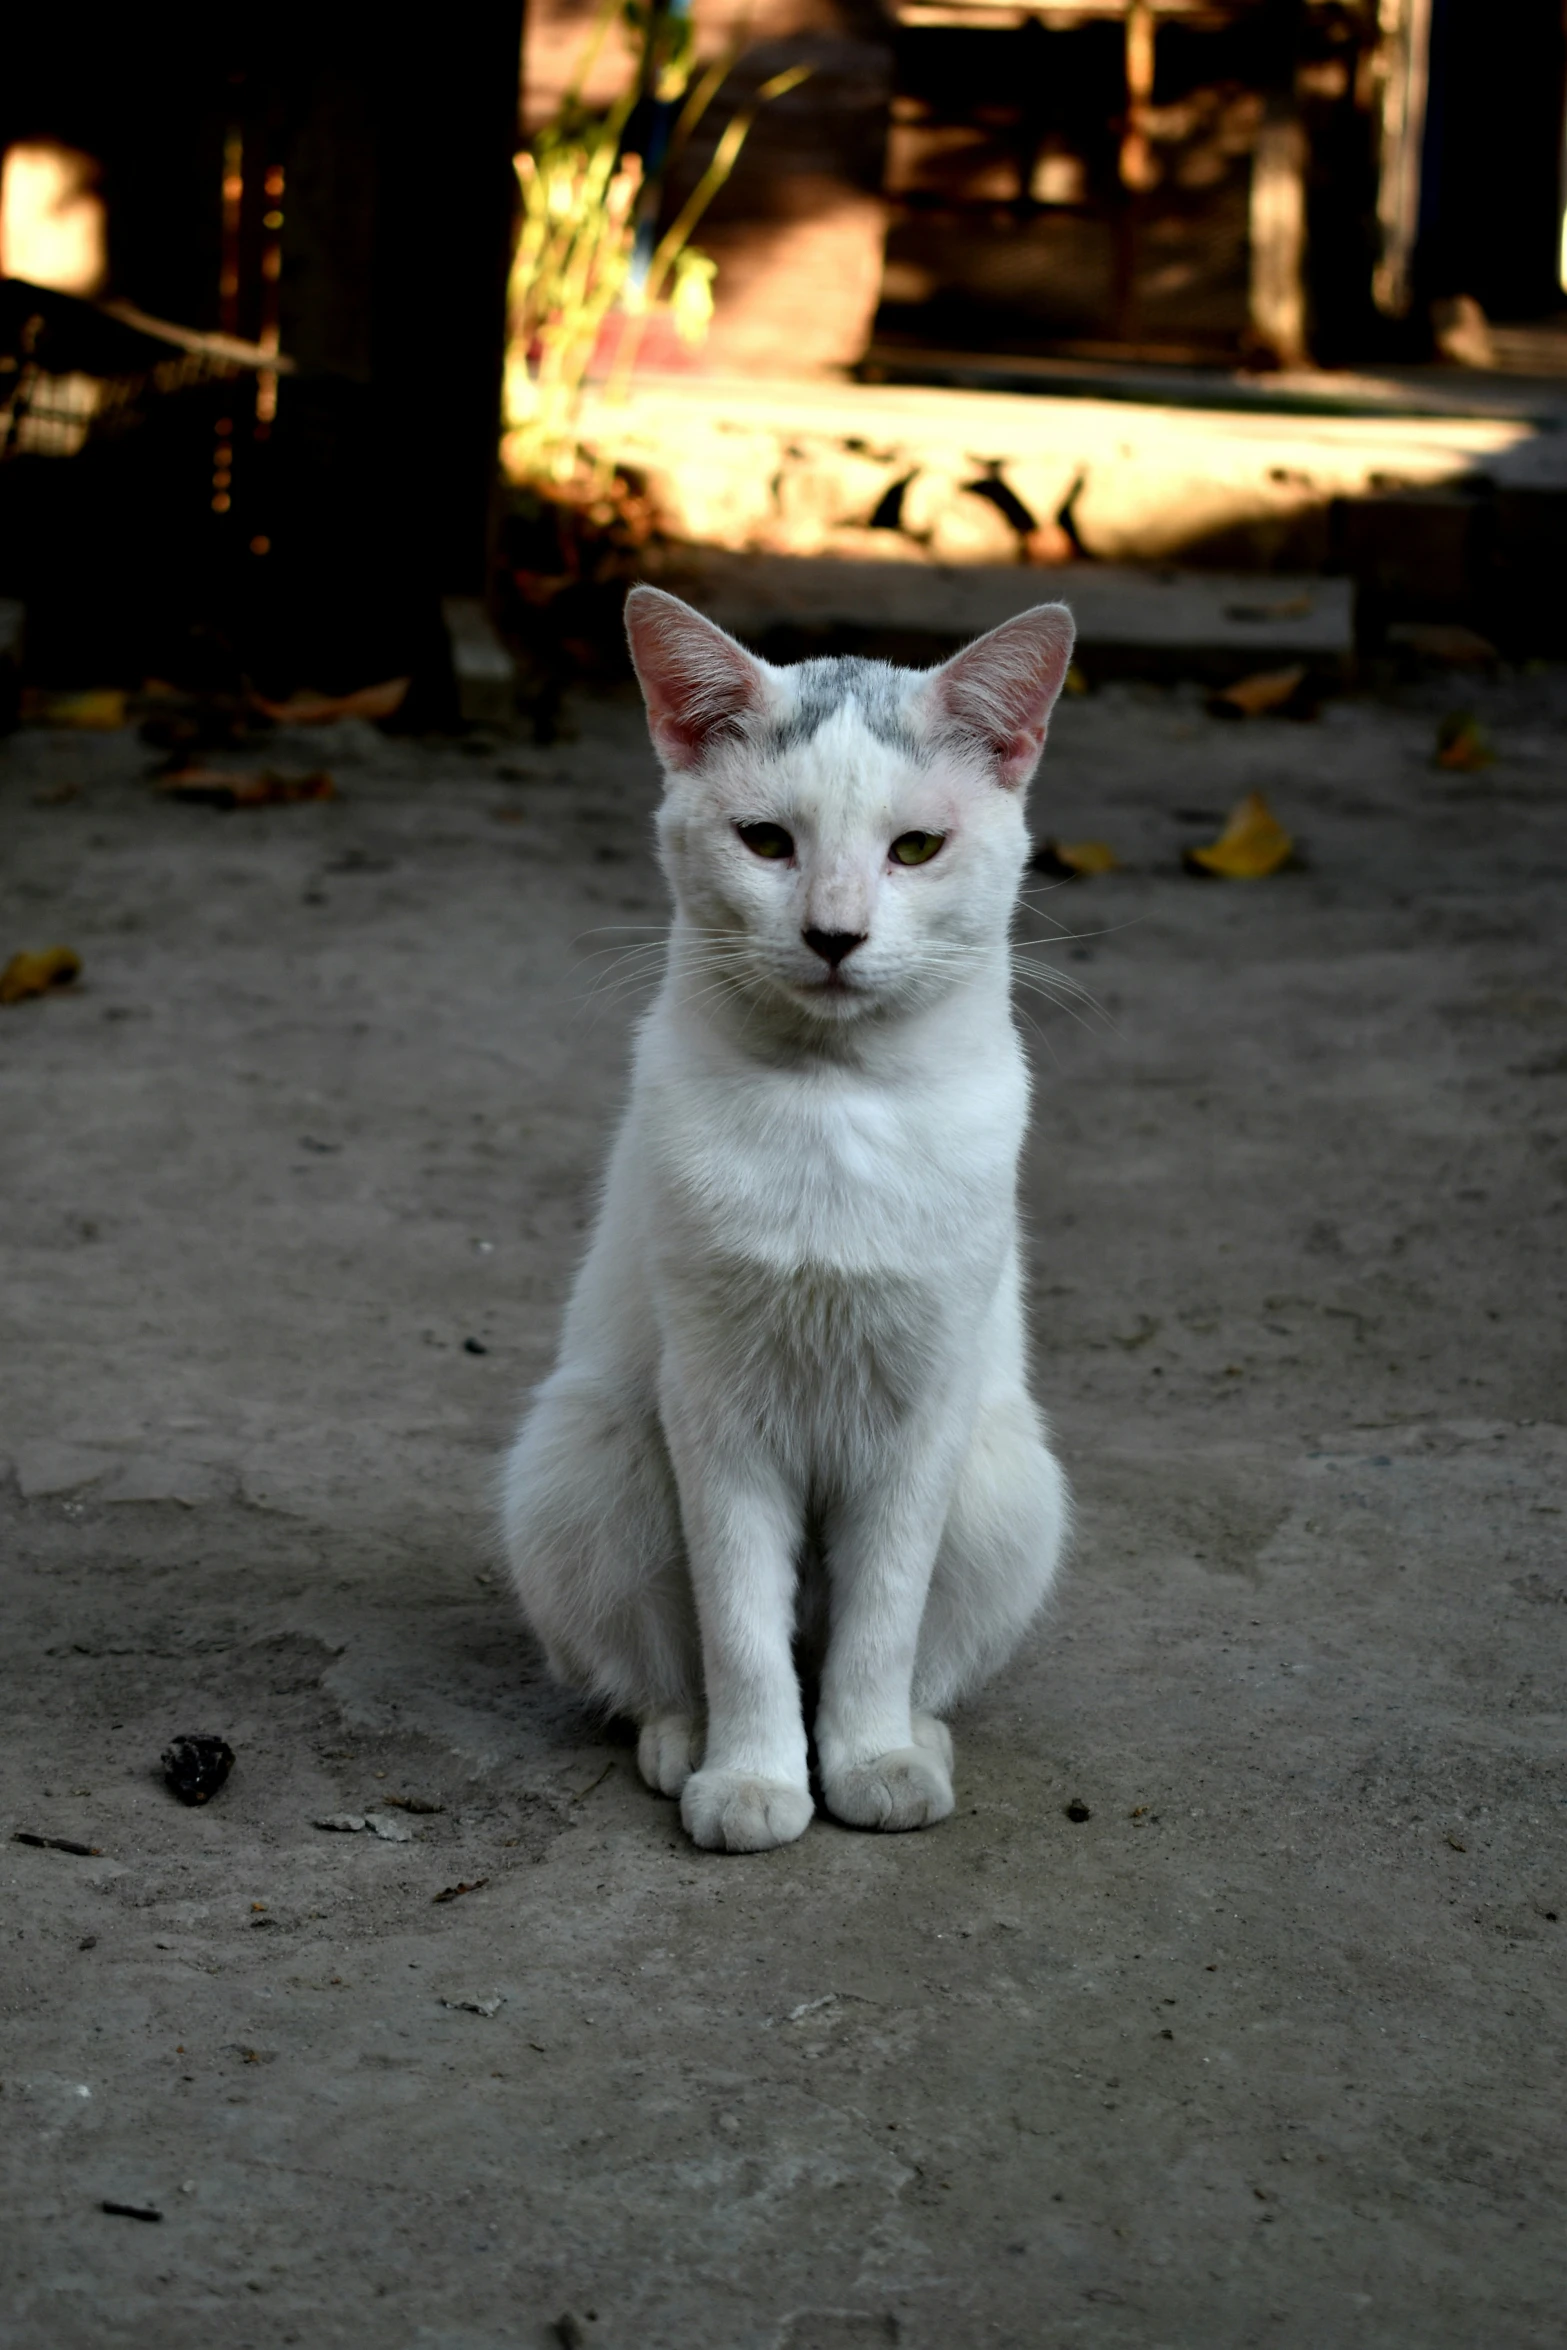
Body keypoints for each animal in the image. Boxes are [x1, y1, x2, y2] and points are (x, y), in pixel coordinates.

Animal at [502, 587, 1080, 1851]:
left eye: (914, 848)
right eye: (768, 841)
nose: (834, 933)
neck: (833, 1107)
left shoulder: (924, 1412)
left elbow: (880, 1622)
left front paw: (867, 1759)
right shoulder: (714, 1408)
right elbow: (739, 1628)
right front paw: (755, 1778)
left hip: (1003, 1483)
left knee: (903, 1653)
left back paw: (914, 1738)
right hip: (589, 1462)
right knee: (670, 1665)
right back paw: (685, 1743)